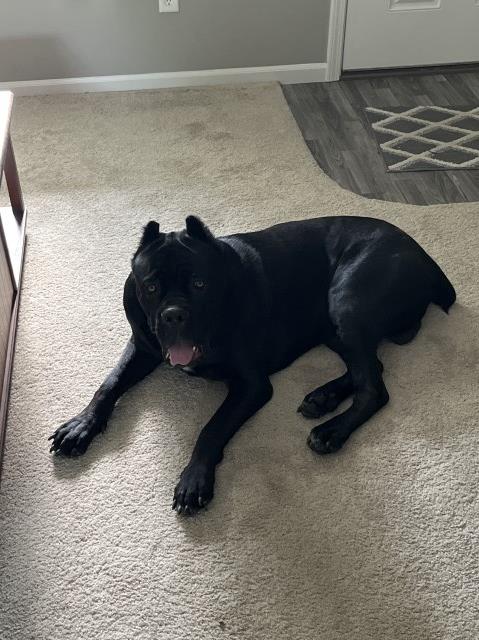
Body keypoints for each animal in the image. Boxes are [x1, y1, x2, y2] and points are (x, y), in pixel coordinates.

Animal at [49, 215, 458, 516]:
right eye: (150, 287)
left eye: (199, 283)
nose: (173, 315)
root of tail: (426, 259)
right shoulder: (143, 347)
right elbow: (109, 384)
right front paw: (81, 426)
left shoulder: (251, 385)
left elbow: (212, 428)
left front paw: (194, 480)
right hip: (333, 323)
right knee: (369, 369)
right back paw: (322, 398)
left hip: (346, 301)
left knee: (373, 386)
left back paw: (330, 431)